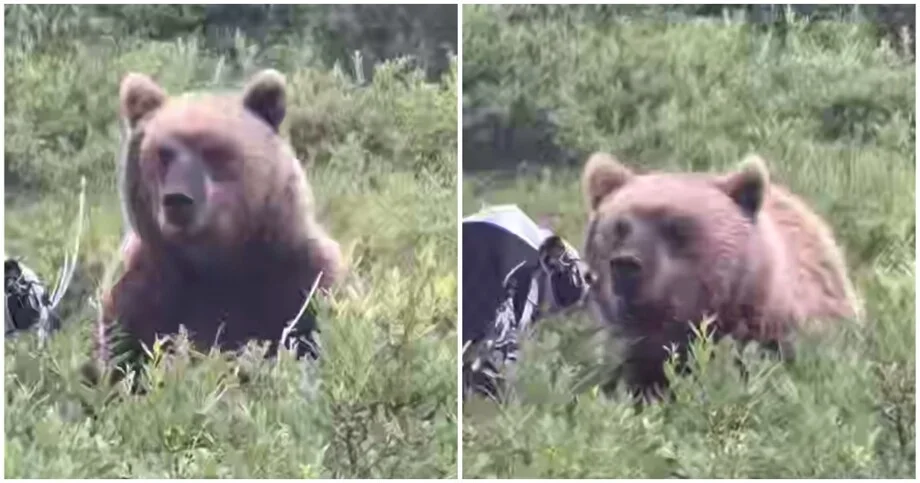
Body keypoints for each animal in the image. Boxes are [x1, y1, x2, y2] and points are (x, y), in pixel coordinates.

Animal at [91, 69, 345, 383]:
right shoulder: (143, 291)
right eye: (163, 153)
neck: (216, 264)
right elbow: (127, 357)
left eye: (213, 151)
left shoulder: (302, 283)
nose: (178, 199)